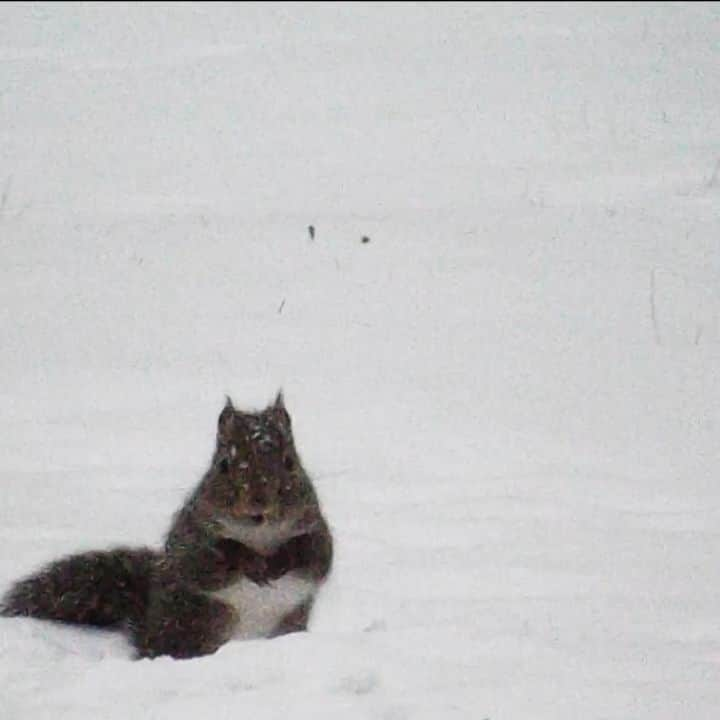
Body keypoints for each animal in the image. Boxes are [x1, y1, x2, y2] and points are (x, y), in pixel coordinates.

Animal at [0, 394, 332, 660]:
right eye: (224, 465)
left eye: (290, 463)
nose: (258, 505)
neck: (259, 534)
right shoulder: (191, 534)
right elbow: (203, 561)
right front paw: (248, 560)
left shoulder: (316, 528)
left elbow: (316, 557)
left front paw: (281, 559)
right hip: (195, 624)